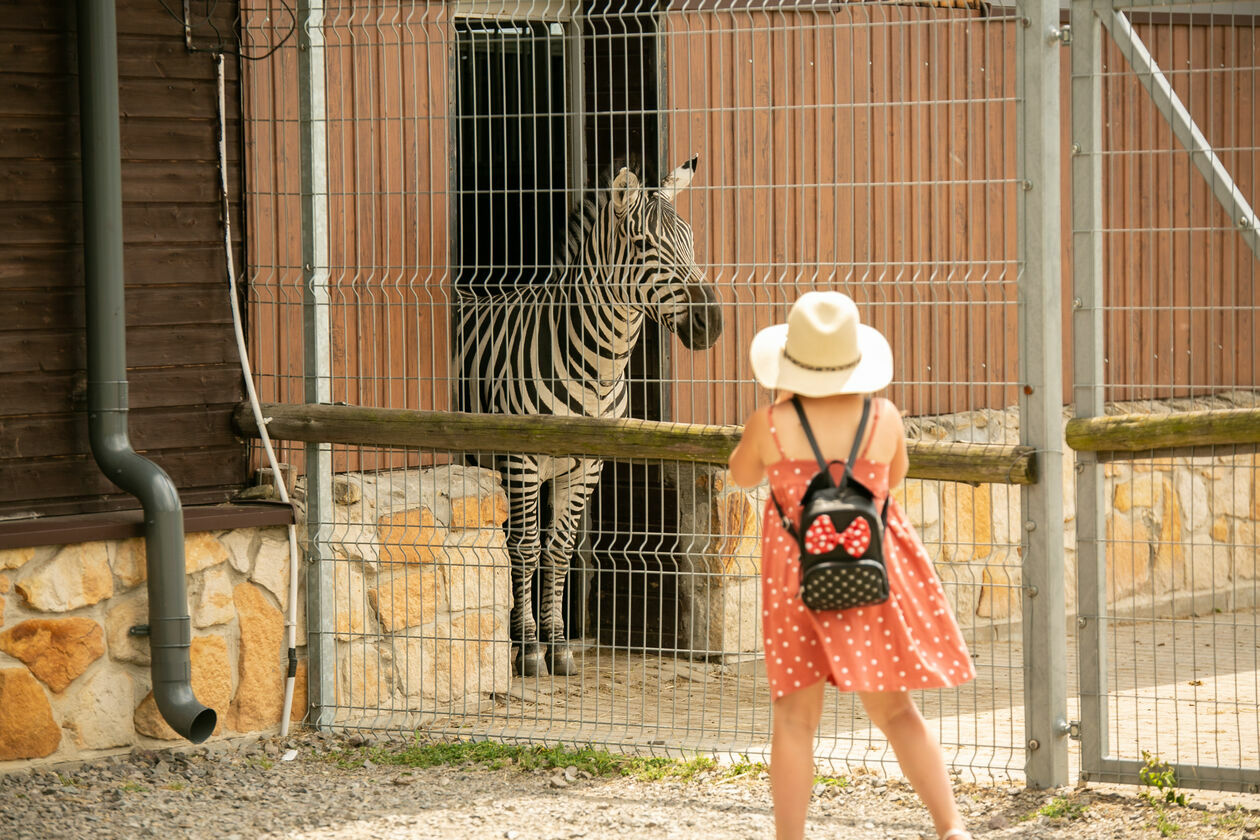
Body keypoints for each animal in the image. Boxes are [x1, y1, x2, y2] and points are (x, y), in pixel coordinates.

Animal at [456, 157, 725, 680]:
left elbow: (560, 551)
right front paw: (529, 648)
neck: (599, 369)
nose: (713, 323)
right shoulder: (521, 460)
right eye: (644, 246)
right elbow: (525, 547)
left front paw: (558, 646)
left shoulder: (587, 466)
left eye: (691, 240)